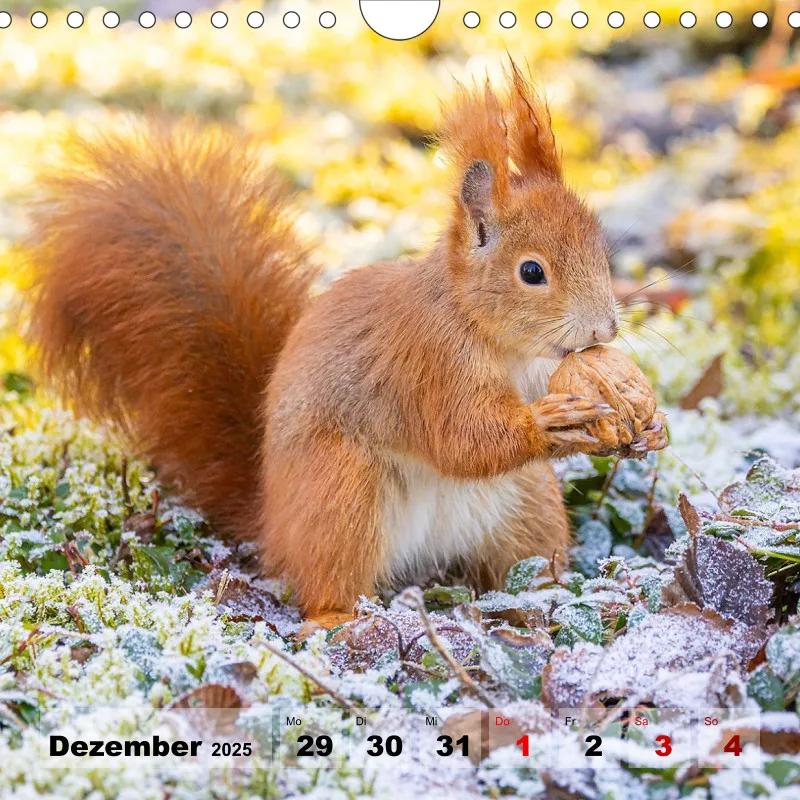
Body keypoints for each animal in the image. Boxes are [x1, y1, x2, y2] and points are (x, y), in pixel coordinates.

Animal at [26, 65, 662, 629]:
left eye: (601, 246)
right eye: (532, 272)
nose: (605, 330)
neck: (493, 335)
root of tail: (273, 522)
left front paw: (647, 420)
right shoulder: (427, 363)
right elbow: (462, 439)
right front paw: (549, 423)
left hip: (527, 507)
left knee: (527, 559)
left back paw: (561, 596)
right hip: (341, 492)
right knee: (327, 581)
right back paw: (336, 618)